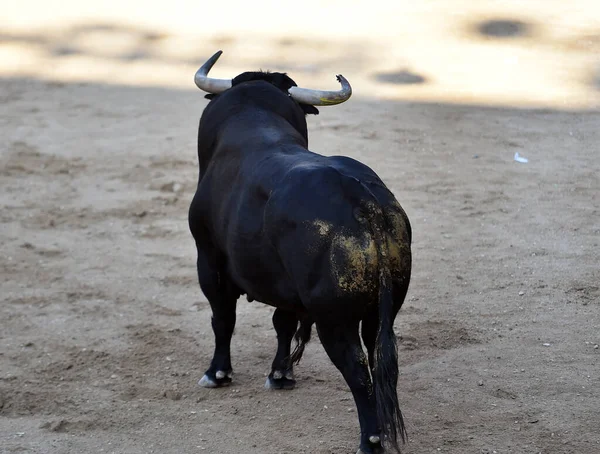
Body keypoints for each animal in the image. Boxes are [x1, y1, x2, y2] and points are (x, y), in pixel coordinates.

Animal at [188, 69, 412, 452]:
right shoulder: (287, 287)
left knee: (357, 369)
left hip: (334, 320)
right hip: (382, 310)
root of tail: (363, 200)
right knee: (382, 360)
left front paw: (217, 373)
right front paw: (280, 375)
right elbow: (283, 323)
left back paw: (370, 440)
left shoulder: (209, 260)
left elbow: (224, 319)